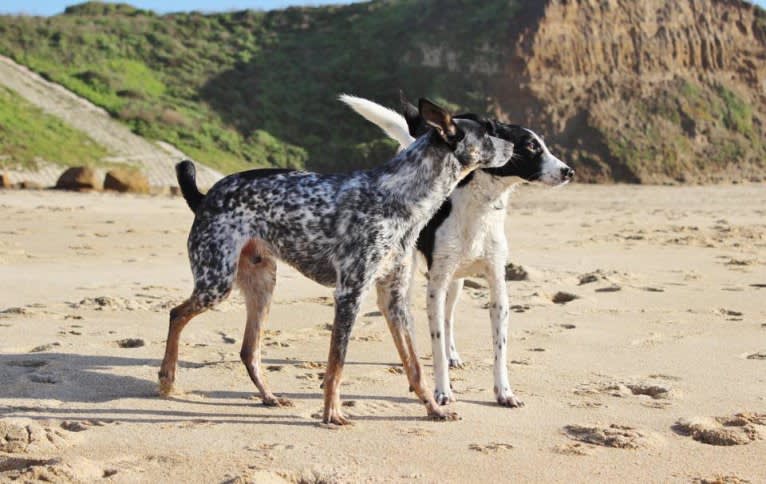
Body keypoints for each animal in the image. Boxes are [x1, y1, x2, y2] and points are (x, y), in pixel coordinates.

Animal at [158, 98, 516, 424]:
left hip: (262, 286)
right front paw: (332, 412)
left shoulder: (394, 298)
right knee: (176, 315)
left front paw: (434, 408)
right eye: (486, 134)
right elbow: (336, 364)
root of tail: (206, 195)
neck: (400, 198)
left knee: (248, 351)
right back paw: (167, 378)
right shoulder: (350, 293)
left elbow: (414, 366)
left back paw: (269, 396)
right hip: (216, 282)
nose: (514, 144)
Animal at [342, 93, 576, 408]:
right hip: (413, 276)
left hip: (457, 283)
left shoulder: (497, 285)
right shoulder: (436, 285)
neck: (480, 208)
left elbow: (498, 347)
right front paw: (442, 391)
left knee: (448, 318)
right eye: (530, 146)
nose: (569, 171)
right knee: (414, 320)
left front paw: (504, 391)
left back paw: (452, 354)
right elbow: (435, 340)